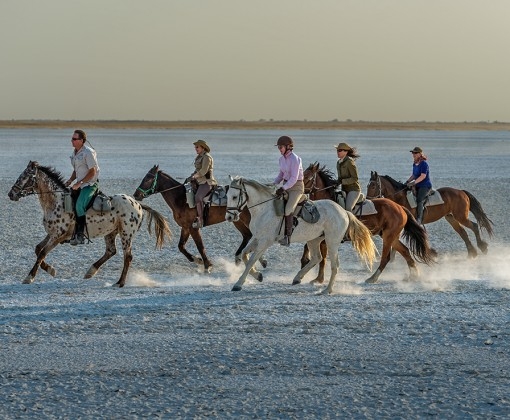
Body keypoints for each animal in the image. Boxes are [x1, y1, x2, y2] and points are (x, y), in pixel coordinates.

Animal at [7, 159, 171, 288]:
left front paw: (29, 277)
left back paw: (120, 282)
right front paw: (51, 270)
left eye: (24, 177)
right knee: (111, 251)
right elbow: (38, 249)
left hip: (126, 234)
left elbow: (42, 253)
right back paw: (91, 271)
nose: (11, 194)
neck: (56, 201)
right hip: (111, 232)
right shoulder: (51, 234)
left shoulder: (58, 236)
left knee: (128, 256)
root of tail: (137, 204)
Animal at [133, 165, 264, 278]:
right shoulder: (185, 227)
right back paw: (243, 258)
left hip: (245, 220)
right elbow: (181, 246)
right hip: (237, 220)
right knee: (248, 235)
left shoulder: (193, 228)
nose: (136, 195)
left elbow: (200, 246)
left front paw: (207, 265)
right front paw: (198, 260)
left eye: (148, 178)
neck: (181, 199)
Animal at [225, 176, 376, 294]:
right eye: (226, 196)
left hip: (331, 242)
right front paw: (258, 275)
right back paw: (298, 278)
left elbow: (251, 260)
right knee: (317, 258)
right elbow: (244, 254)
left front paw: (238, 284)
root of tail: (344, 212)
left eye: (234, 197)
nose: (229, 217)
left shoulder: (265, 241)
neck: (263, 209)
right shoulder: (257, 238)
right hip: (314, 240)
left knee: (334, 265)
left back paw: (327, 290)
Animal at [304, 162, 436, 284]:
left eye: (308, 178)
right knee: (405, 251)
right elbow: (314, 251)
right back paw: (413, 276)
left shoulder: (325, 238)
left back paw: (373, 278)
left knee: (386, 257)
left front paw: (319, 279)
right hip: (389, 235)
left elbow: (322, 258)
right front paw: (312, 271)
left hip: (388, 236)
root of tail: (400, 207)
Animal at [366, 171, 494, 260]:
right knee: (462, 232)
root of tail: (461, 191)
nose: (368, 200)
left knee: (474, 226)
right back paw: (472, 253)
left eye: (373, 186)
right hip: (451, 217)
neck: (400, 197)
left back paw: (482, 247)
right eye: (367, 186)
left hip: (461, 217)